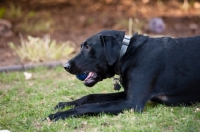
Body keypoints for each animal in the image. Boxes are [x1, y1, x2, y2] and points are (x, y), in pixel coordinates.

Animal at [47, 29, 200, 120]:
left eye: (88, 47)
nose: (65, 66)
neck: (126, 53)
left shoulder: (132, 103)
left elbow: (89, 106)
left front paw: (59, 114)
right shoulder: (127, 94)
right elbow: (91, 97)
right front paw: (65, 104)